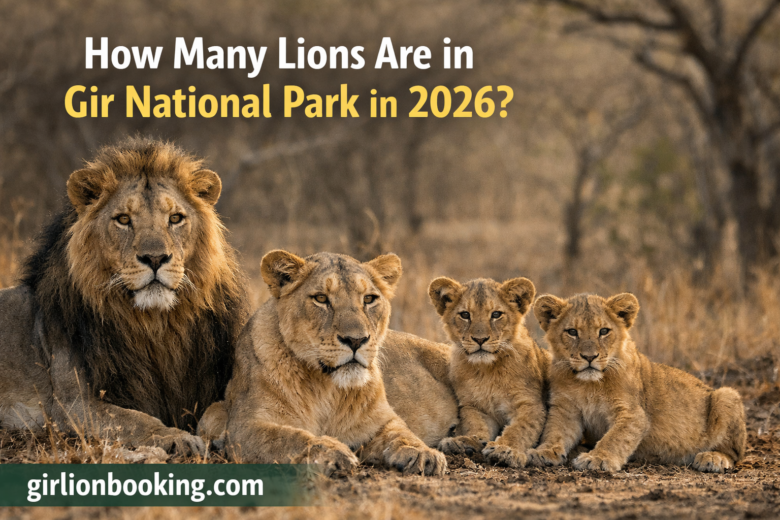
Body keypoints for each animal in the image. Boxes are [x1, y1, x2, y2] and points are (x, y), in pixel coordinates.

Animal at [0, 137, 246, 455]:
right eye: (123, 219)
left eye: (175, 218)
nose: (155, 258)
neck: (156, 328)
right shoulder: (73, 405)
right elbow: (136, 420)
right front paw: (177, 438)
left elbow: (226, 408)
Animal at [217, 250, 450, 475]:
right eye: (321, 298)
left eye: (369, 299)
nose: (356, 340)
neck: (327, 387)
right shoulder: (244, 427)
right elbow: (289, 438)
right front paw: (331, 452)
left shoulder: (380, 420)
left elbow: (401, 433)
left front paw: (423, 453)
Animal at [428, 276, 550, 468]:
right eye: (465, 315)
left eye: (496, 314)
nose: (480, 339)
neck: (487, 371)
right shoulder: (474, 406)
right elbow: (476, 426)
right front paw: (465, 442)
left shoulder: (531, 405)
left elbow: (520, 429)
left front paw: (506, 450)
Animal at [526, 292, 746, 473]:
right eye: (572, 332)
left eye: (604, 331)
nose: (590, 357)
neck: (587, 385)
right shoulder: (566, 409)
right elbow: (555, 431)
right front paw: (544, 452)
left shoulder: (633, 413)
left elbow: (615, 438)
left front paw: (597, 459)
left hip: (726, 395)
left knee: (734, 454)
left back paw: (713, 458)